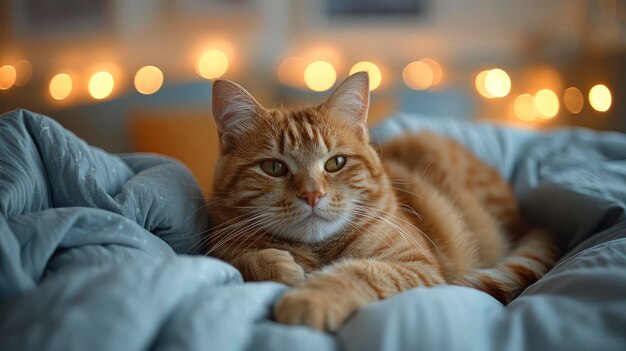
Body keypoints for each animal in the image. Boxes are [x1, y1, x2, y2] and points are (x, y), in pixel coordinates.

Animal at [207, 72, 560, 332]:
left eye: (335, 163)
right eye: (274, 168)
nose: (313, 195)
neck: (319, 250)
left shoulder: (418, 266)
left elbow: (361, 272)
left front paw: (312, 298)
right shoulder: (220, 244)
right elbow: (233, 260)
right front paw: (273, 265)